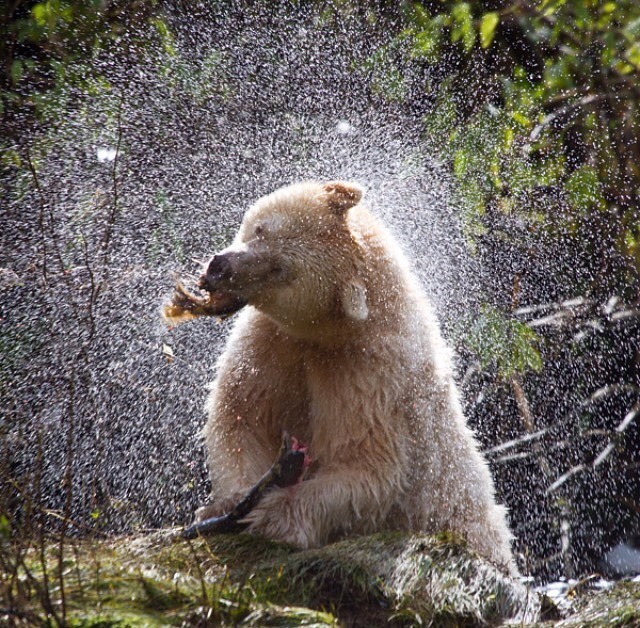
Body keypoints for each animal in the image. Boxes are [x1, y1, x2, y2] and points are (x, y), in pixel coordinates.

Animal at [189, 180, 516, 576]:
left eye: (279, 271)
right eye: (261, 230)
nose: (220, 266)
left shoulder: (369, 373)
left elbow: (369, 466)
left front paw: (274, 515)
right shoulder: (273, 342)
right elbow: (242, 412)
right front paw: (227, 503)